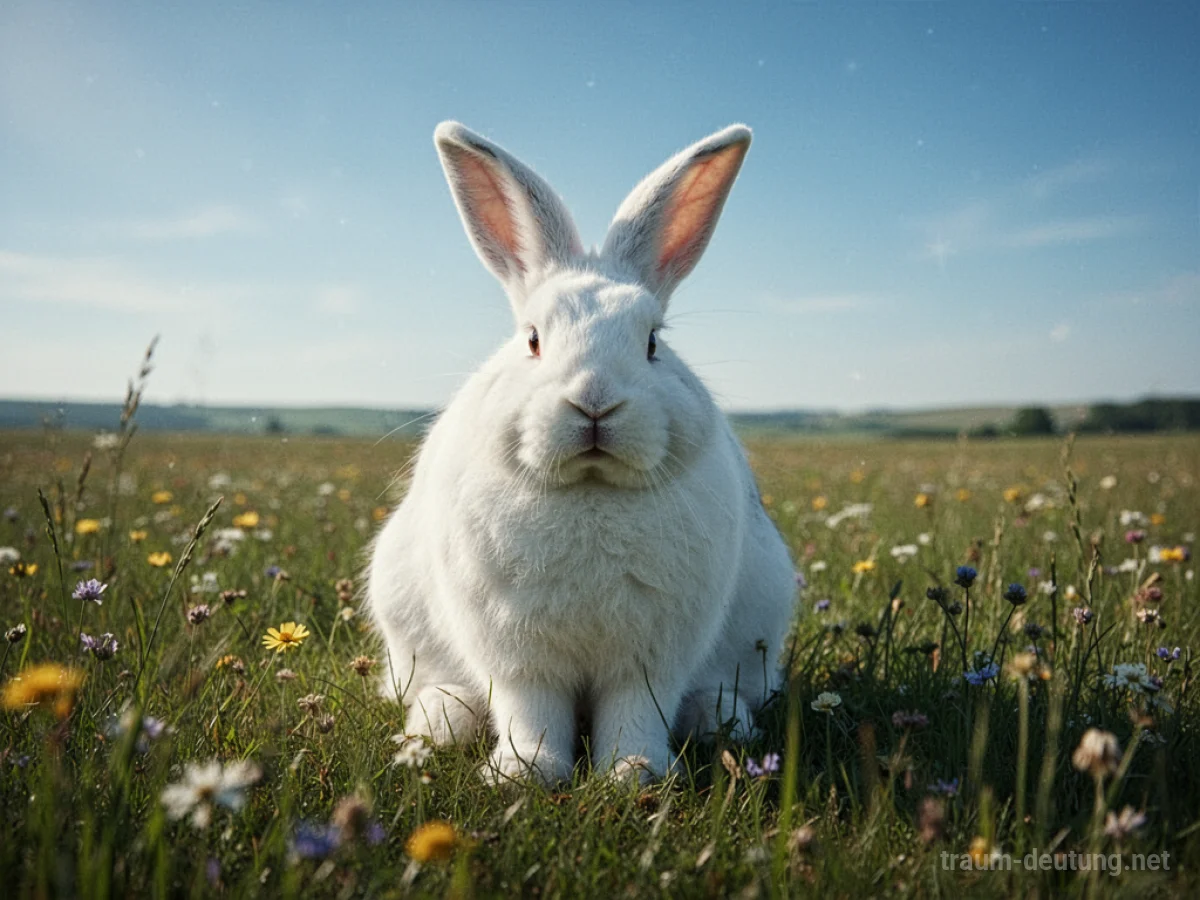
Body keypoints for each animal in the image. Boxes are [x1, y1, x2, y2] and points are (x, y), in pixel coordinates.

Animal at [366, 120, 797, 785]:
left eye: (652, 342)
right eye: (533, 340)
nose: (595, 401)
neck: (591, 488)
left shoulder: (651, 658)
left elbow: (636, 710)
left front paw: (633, 774)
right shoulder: (517, 655)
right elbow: (531, 709)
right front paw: (525, 772)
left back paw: (718, 721)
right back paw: (442, 720)